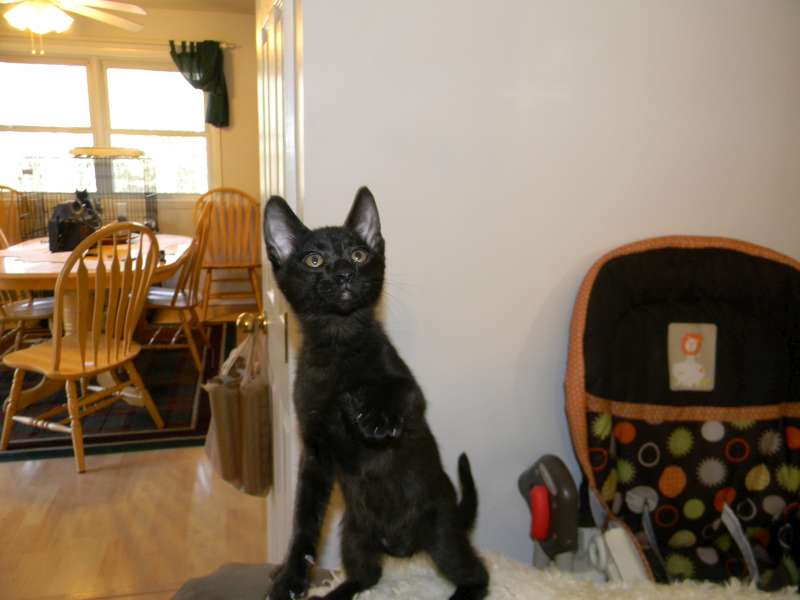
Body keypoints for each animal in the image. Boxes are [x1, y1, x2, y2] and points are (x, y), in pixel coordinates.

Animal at [263, 187, 489, 600]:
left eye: (359, 254)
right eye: (314, 260)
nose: (343, 272)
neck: (339, 342)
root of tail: (401, 547)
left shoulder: (414, 396)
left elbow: (397, 388)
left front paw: (373, 414)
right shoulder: (315, 451)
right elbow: (304, 521)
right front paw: (289, 578)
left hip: (443, 536)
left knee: (476, 574)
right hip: (353, 534)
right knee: (369, 576)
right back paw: (336, 592)